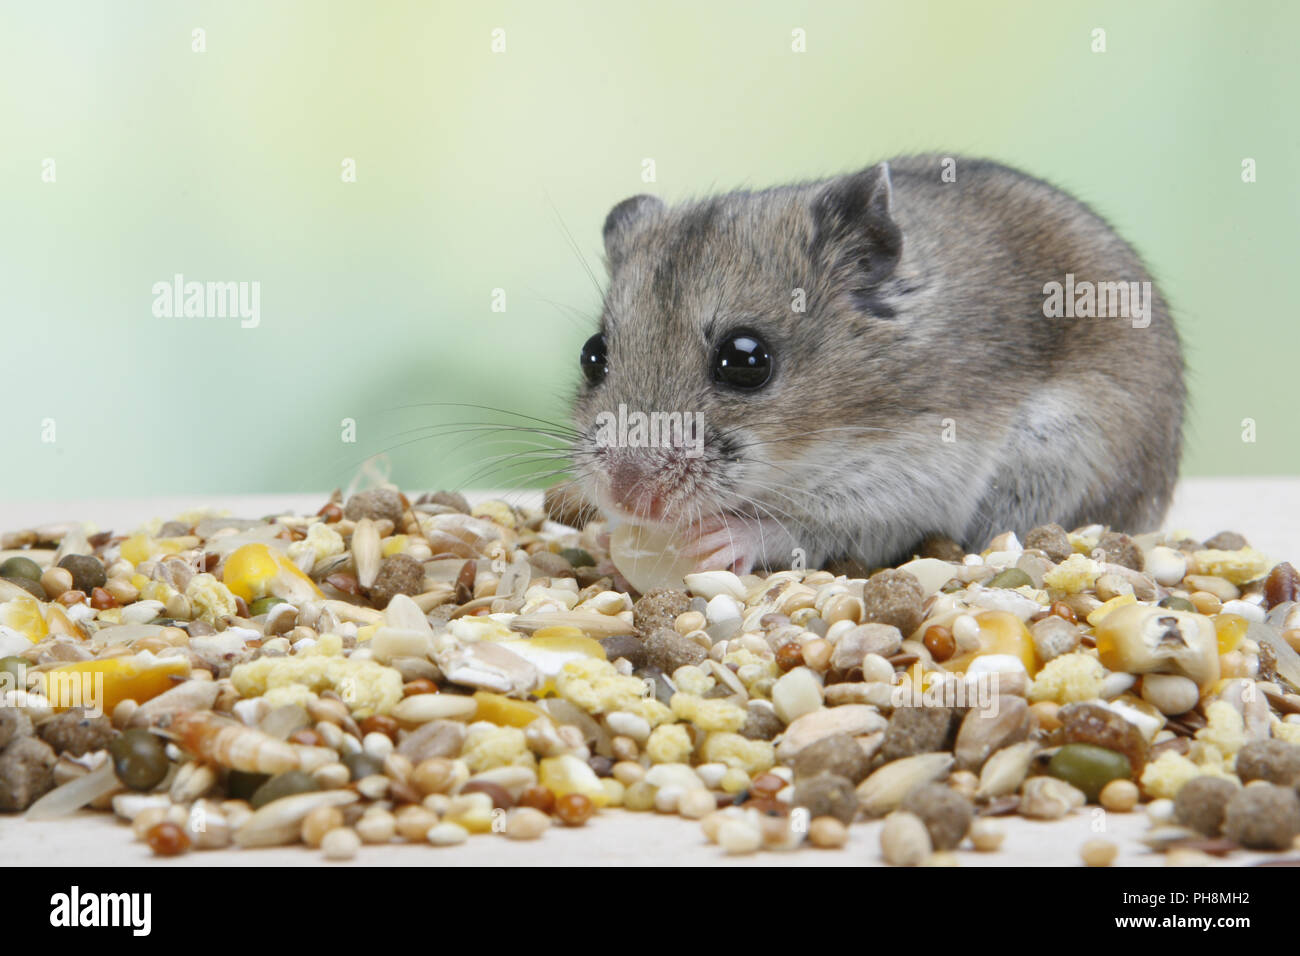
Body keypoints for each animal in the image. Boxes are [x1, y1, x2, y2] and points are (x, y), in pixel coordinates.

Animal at [563, 155, 1185, 575]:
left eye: (746, 360)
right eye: (593, 355)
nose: (625, 497)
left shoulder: (911, 482)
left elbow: (804, 528)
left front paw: (720, 542)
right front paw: (606, 540)